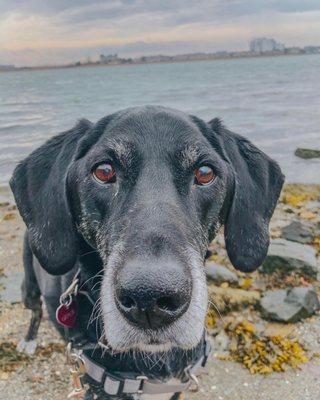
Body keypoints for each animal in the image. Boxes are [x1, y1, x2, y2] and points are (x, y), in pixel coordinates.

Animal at [10, 104, 284, 398]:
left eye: (205, 173)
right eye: (103, 171)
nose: (149, 298)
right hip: (29, 285)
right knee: (35, 310)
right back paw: (29, 340)